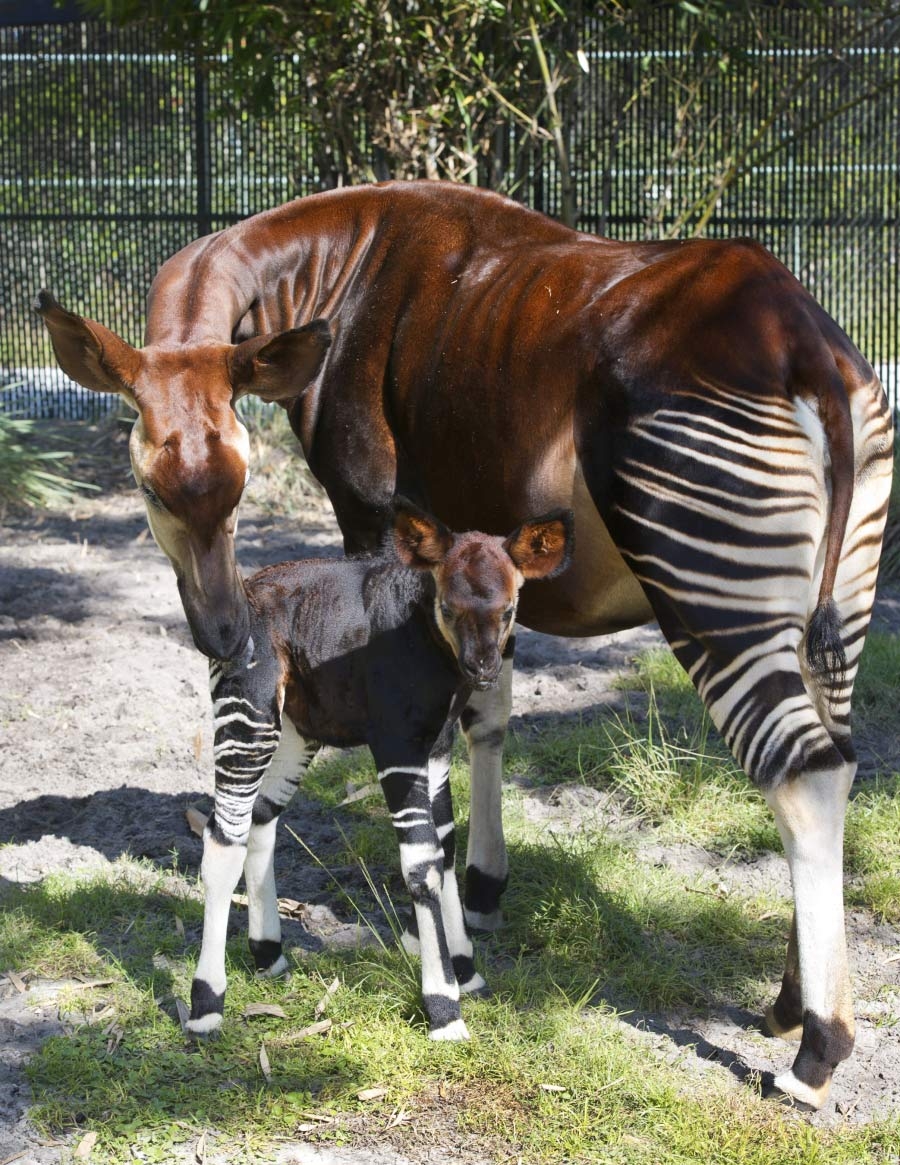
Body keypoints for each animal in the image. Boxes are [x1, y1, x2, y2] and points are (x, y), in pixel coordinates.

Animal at [186, 500, 572, 1039]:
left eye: (510, 610)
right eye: (448, 608)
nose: (483, 671)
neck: (425, 642)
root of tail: (246, 593)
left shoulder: (437, 745)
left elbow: (446, 847)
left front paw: (465, 970)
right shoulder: (396, 744)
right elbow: (421, 864)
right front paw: (444, 1008)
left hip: (299, 729)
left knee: (261, 818)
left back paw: (268, 955)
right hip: (249, 711)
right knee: (223, 837)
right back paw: (206, 1006)